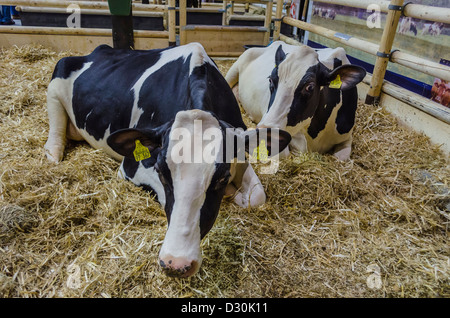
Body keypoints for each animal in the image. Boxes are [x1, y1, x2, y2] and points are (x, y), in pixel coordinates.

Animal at [45, 42, 290, 278]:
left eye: (222, 178)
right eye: (162, 172)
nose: (177, 263)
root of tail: (101, 49)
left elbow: (256, 196)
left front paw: (236, 193)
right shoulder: (131, 166)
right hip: (56, 81)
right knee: (55, 131)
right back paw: (52, 155)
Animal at [225, 41, 366, 161]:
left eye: (310, 87)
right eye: (270, 79)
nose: (264, 130)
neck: (316, 134)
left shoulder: (347, 136)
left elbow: (341, 158)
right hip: (235, 67)